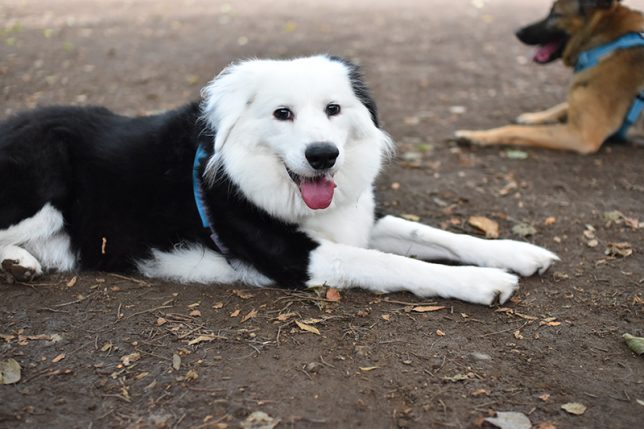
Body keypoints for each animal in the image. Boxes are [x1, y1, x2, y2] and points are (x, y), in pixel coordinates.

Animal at [0, 56, 560, 304]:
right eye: (282, 113)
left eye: (334, 109)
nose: (323, 156)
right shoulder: (298, 255)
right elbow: (390, 262)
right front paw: (483, 282)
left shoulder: (357, 217)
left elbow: (430, 234)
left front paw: (515, 252)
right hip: (42, 180)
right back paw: (17, 263)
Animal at [456, 0, 644, 154]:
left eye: (555, 14)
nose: (517, 31)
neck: (605, 43)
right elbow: (561, 106)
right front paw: (531, 117)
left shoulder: (580, 135)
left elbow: (514, 130)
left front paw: (474, 136)